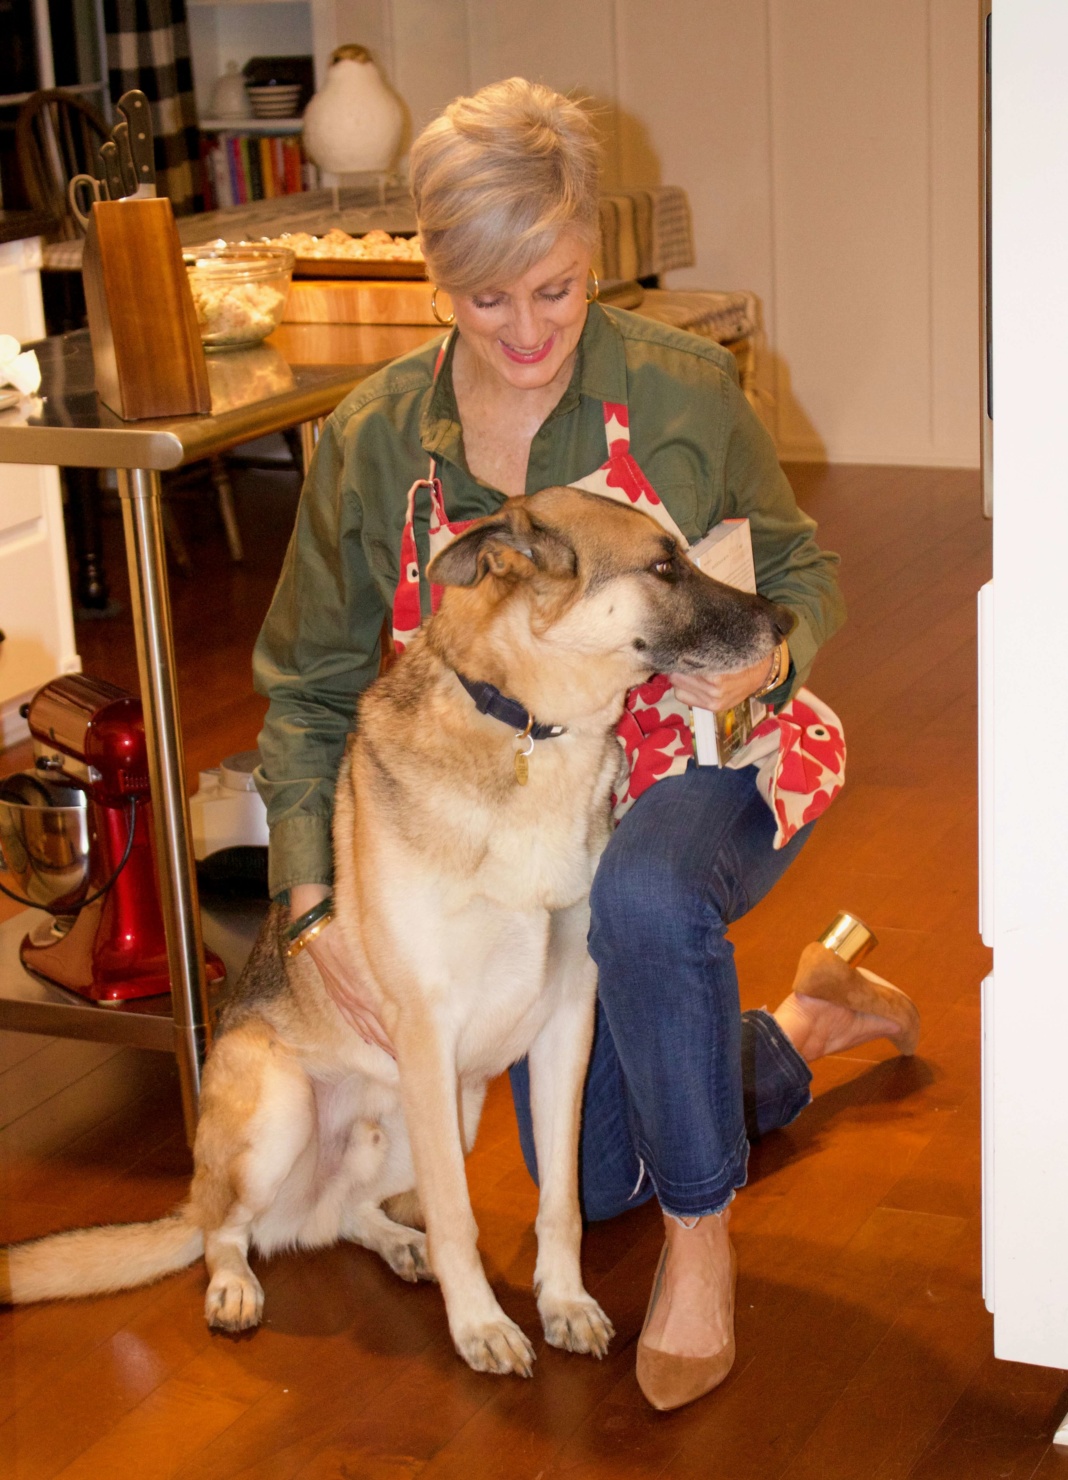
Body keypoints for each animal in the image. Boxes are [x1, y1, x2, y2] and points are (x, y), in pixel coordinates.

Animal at [0, 485, 781, 1373]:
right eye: (663, 566)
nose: (779, 621)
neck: (527, 728)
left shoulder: (565, 1031)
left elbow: (561, 1201)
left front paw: (563, 1302)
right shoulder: (427, 1034)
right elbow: (456, 1216)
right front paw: (480, 1325)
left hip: (447, 1112)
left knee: (336, 1217)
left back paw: (394, 1243)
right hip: (285, 1108)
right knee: (224, 1232)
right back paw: (234, 1286)